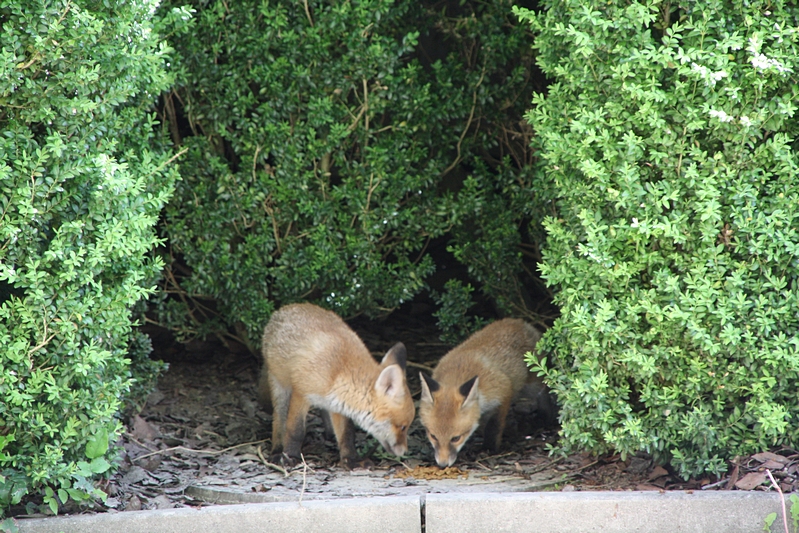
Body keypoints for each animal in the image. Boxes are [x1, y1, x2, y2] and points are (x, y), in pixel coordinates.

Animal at [260, 302, 416, 468]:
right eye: (403, 427)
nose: (404, 452)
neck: (338, 372)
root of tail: (287, 307)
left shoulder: (338, 404)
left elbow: (346, 433)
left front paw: (351, 458)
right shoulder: (301, 393)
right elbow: (295, 430)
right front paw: (290, 456)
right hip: (280, 385)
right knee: (279, 419)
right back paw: (277, 450)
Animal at [418, 318, 552, 468]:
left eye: (456, 438)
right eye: (433, 436)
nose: (442, 464)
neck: (458, 374)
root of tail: (519, 321)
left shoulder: (503, 393)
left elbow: (494, 426)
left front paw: (490, 448)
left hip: (532, 385)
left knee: (545, 392)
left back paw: (547, 417)